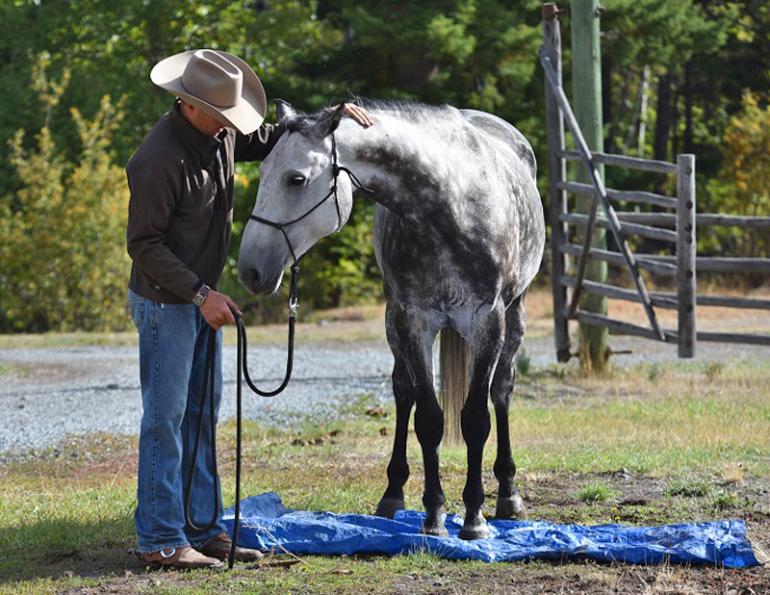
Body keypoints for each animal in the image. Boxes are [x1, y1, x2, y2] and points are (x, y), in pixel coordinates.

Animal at [237, 99, 545, 539]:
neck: (451, 206)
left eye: (296, 179)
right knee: (404, 393)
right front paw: (434, 516)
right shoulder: (413, 320)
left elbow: (475, 419)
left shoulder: (488, 320)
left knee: (501, 390)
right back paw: (393, 493)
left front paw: (474, 518)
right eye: (261, 173)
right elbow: (429, 419)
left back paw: (508, 494)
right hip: (392, 322)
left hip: (513, 317)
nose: (250, 270)